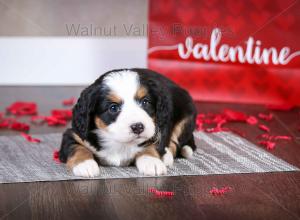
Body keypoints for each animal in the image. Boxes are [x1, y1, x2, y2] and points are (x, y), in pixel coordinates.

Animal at [59, 69, 198, 177]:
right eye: (113, 108)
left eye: (145, 102)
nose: (138, 127)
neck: (119, 143)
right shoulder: (74, 135)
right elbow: (76, 147)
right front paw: (85, 164)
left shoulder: (155, 131)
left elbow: (151, 146)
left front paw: (151, 161)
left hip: (186, 115)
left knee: (175, 141)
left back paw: (167, 156)